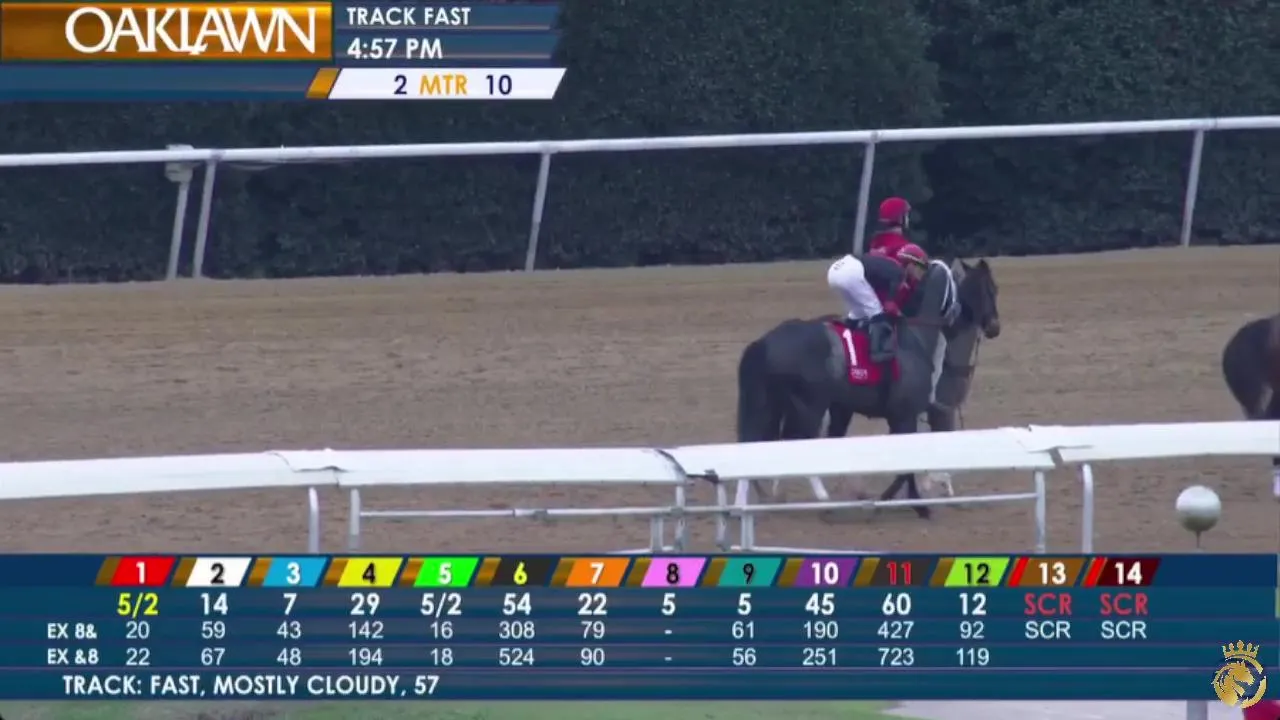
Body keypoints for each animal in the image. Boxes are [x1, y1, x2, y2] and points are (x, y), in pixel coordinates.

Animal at [735, 261, 955, 519]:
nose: (959, 312)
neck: (914, 338)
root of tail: (764, 343)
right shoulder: (905, 414)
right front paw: (918, 505)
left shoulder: (861, 411)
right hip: (809, 404)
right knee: (797, 438)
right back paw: (821, 498)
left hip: (771, 402)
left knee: (758, 440)